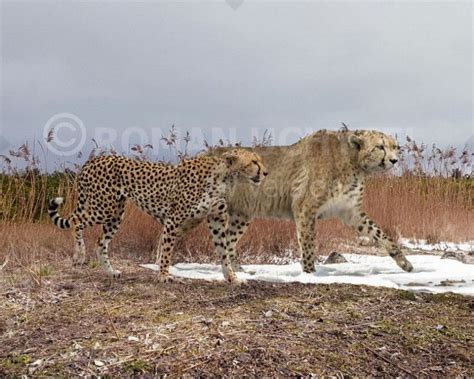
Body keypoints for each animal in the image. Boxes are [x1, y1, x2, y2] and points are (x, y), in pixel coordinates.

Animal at [51, 150, 270, 284]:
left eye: (259, 161)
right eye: (253, 162)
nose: (266, 173)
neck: (225, 177)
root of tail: (95, 159)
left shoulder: (216, 220)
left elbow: (224, 252)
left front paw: (232, 278)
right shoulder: (173, 220)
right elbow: (166, 250)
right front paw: (164, 275)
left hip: (115, 214)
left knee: (100, 242)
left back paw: (110, 271)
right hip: (103, 207)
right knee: (76, 221)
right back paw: (79, 254)